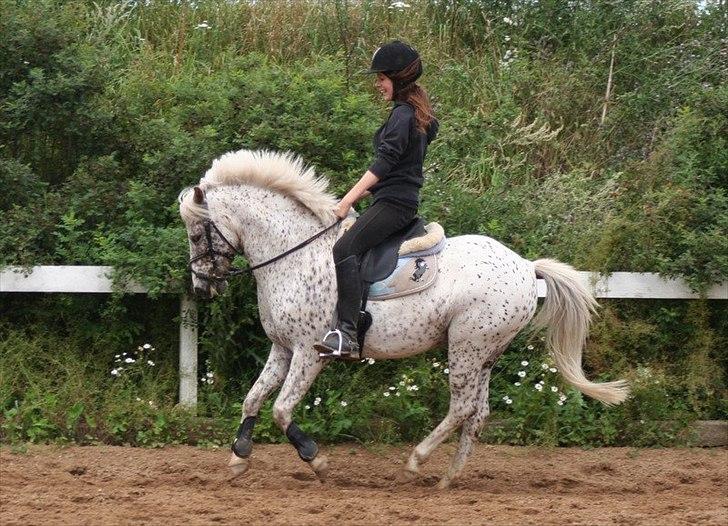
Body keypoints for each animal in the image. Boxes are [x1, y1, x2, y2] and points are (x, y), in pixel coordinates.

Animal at [179, 147, 628, 490]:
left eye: (197, 234)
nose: (202, 289)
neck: (294, 253)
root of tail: (525, 266)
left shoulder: (308, 352)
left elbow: (281, 410)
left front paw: (316, 460)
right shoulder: (283, 348)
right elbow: (253, 399)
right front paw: (239, 458)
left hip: (467, 346)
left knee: (462, 408)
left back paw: (417, 461)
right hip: (485, 352)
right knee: (478, 413)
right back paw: (448, 479)